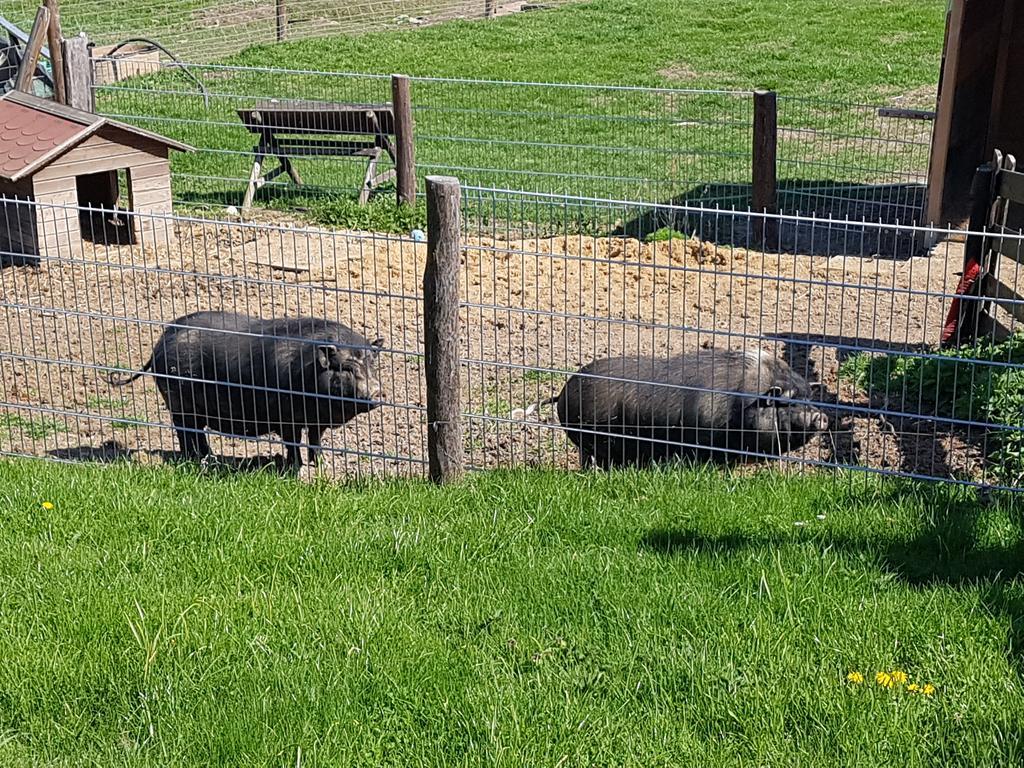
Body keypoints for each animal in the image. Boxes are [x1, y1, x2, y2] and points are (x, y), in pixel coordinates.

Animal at [110, 311, 385, 468]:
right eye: (347, 367)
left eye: (372, 363)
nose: (377, 391)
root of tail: (159, 343)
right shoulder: (286, 417)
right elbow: (292, 443)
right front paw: (293, 468)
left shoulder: (317, 422)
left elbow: (315, 442)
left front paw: (320, 466)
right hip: (179, 402)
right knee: (186, 431)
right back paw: (202, 460)